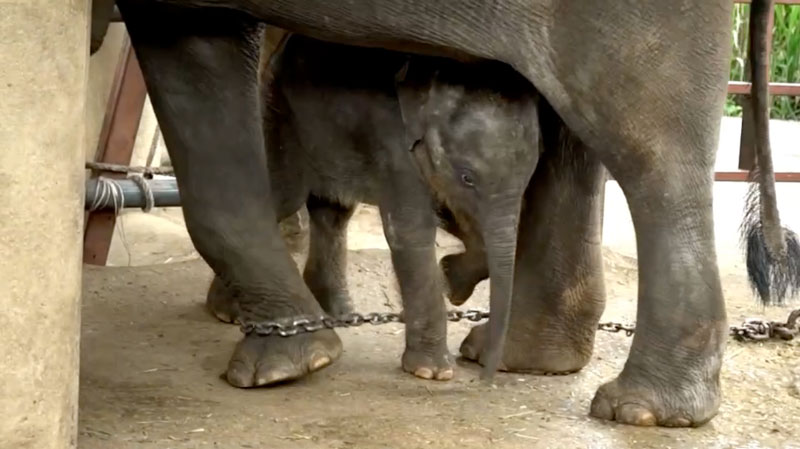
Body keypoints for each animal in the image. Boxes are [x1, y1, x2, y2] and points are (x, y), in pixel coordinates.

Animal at [209, 34, 540, 378]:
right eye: (468, 177)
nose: (485, 375)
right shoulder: (394, 146)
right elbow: (411, 232)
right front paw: (434, 372)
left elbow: (462, 222)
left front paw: (450, 281)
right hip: (281, 111)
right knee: (281, 199)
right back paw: (229, 312)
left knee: (334, 210)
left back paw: (336, 313)